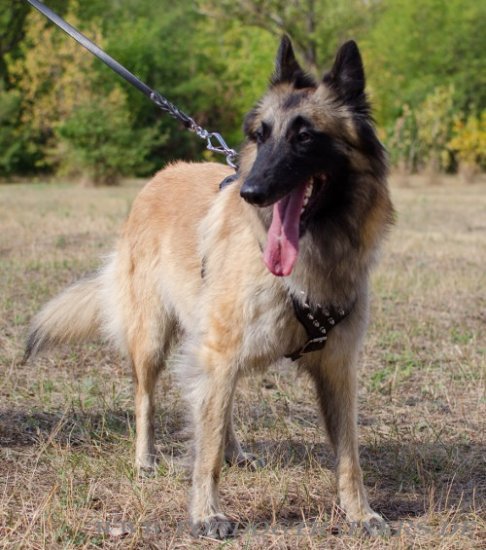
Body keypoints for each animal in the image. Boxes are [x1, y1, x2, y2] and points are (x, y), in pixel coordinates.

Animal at [24, 37, 392, 540]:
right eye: (261, 135)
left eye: (305, 137)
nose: (251, 192)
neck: (311, 260)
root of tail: (158, 178)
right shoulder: (217, 353)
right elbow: (207, 448)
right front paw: (206, 513)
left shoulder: (336, 365)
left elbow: (348, 454)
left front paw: (359, 512)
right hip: (155, 339)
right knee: (147, 400)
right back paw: (146, 459)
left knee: (221, 409)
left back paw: (236, 451)